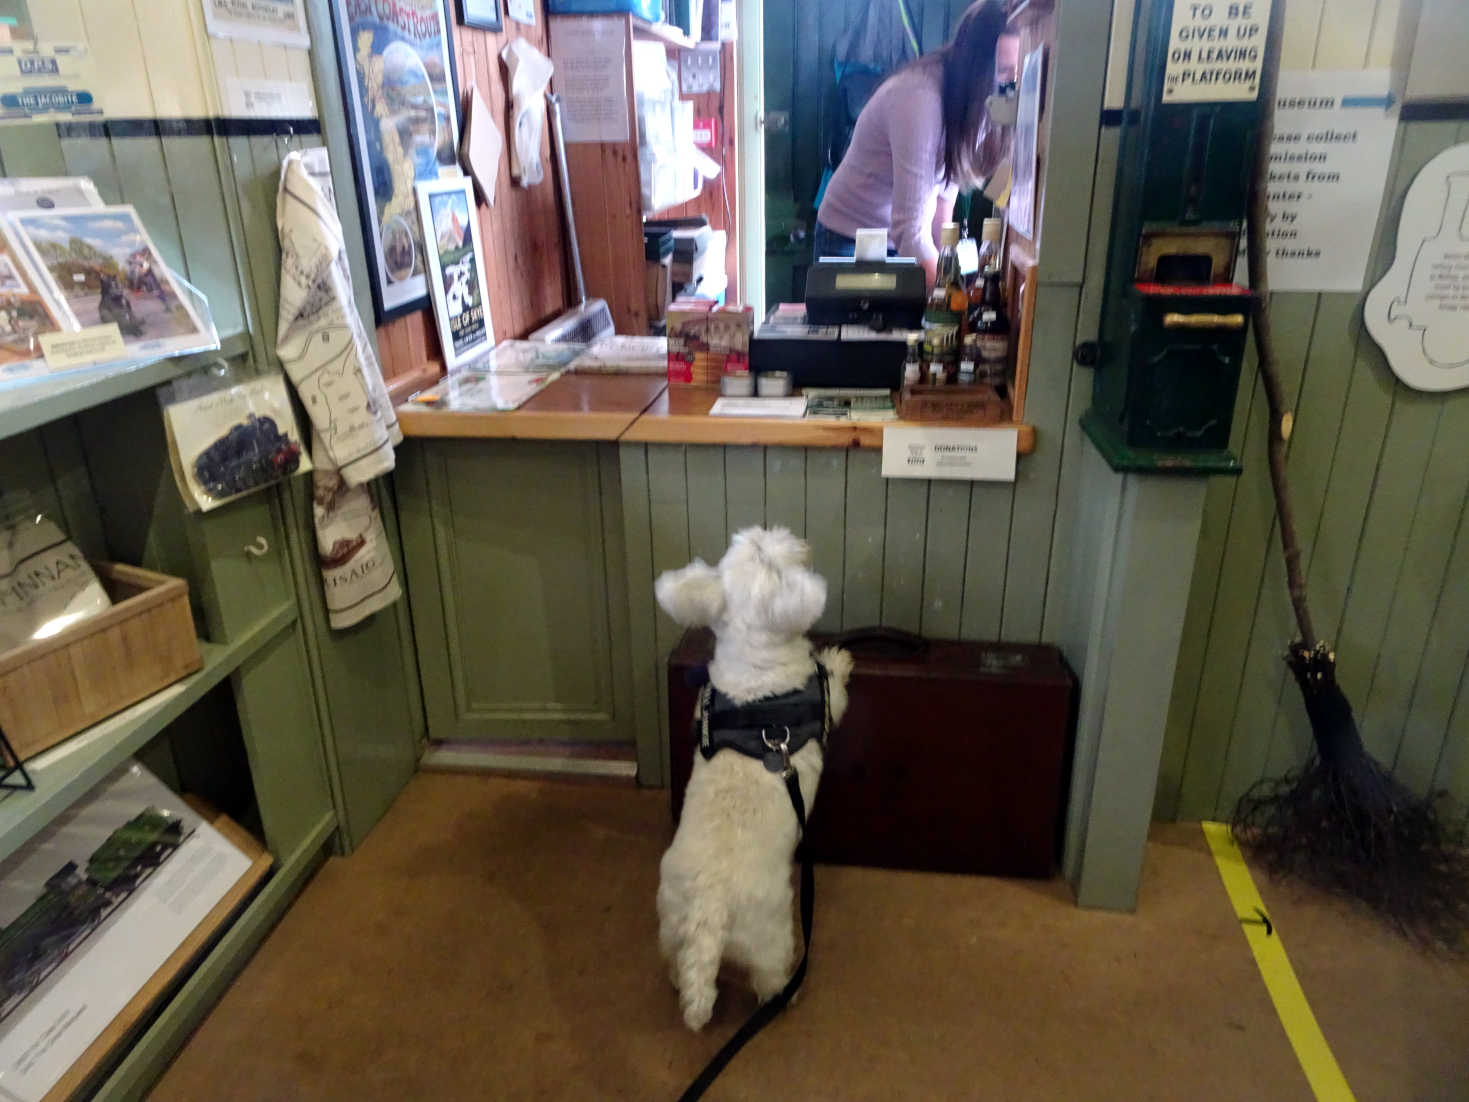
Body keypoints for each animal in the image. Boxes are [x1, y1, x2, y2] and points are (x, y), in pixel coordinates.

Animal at [652, 528, 852, 1034]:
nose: (794, 537)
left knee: (676, 961)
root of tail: (710, 911)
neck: (755, 666)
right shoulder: (825, 702)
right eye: (773, 551)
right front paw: (838, 657)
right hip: (771, 933)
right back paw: (787, 993)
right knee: (771, 975)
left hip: (671, 918)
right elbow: (837, 688)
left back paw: (680, 982)